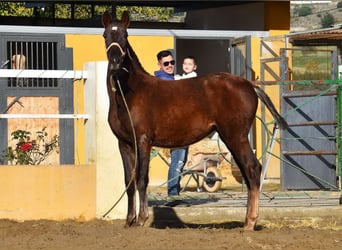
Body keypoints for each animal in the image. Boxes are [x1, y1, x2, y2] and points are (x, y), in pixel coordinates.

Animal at [102, 11, 288, 230]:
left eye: (125, 35)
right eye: (106, 35)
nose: (115, 61)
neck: (129, 94)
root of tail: (250, 85)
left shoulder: (143, 141)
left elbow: (141, 179)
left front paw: (142, 219)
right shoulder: (124, 144)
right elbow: (128, 182)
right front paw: (129, 220)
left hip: (236, 136)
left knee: (252, 169)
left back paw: (250, 223)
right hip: (231, 138)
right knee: (248, 171)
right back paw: (246, 220)